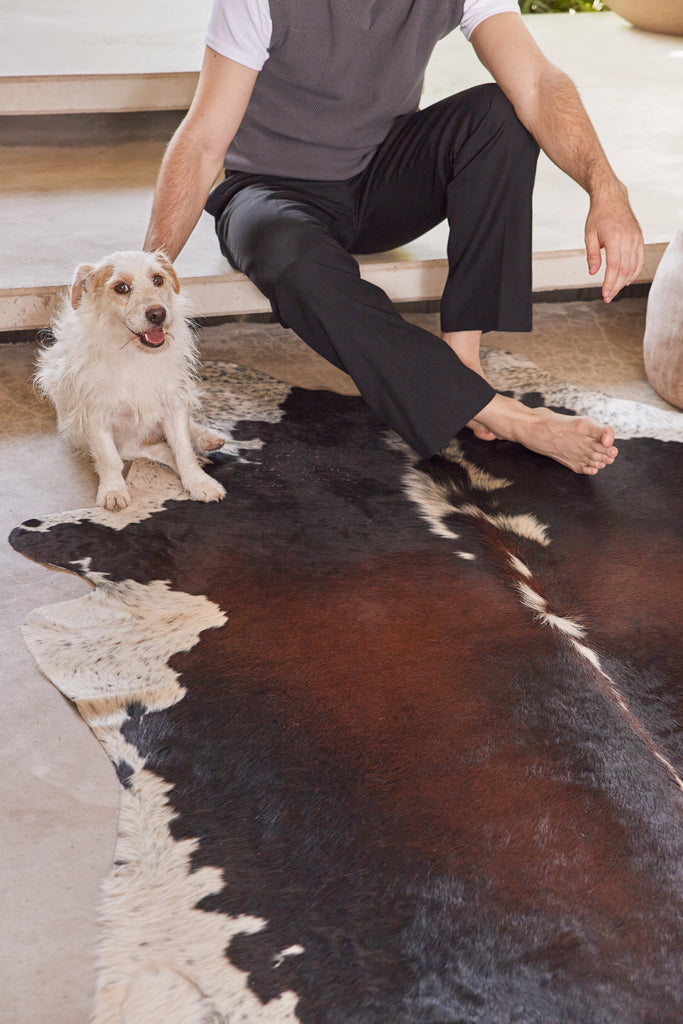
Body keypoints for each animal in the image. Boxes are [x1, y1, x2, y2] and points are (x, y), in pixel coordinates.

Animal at [34, 248, 225, 512]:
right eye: (121, 287)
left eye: (158, 279)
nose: (158, 314)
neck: (135, 354)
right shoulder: (96, 416)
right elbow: (109, 458)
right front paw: (113, 490)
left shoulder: (173, 404)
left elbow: (184, 448)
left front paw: (199, 483)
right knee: (151, 449)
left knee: (185, 432)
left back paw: (206, 438)